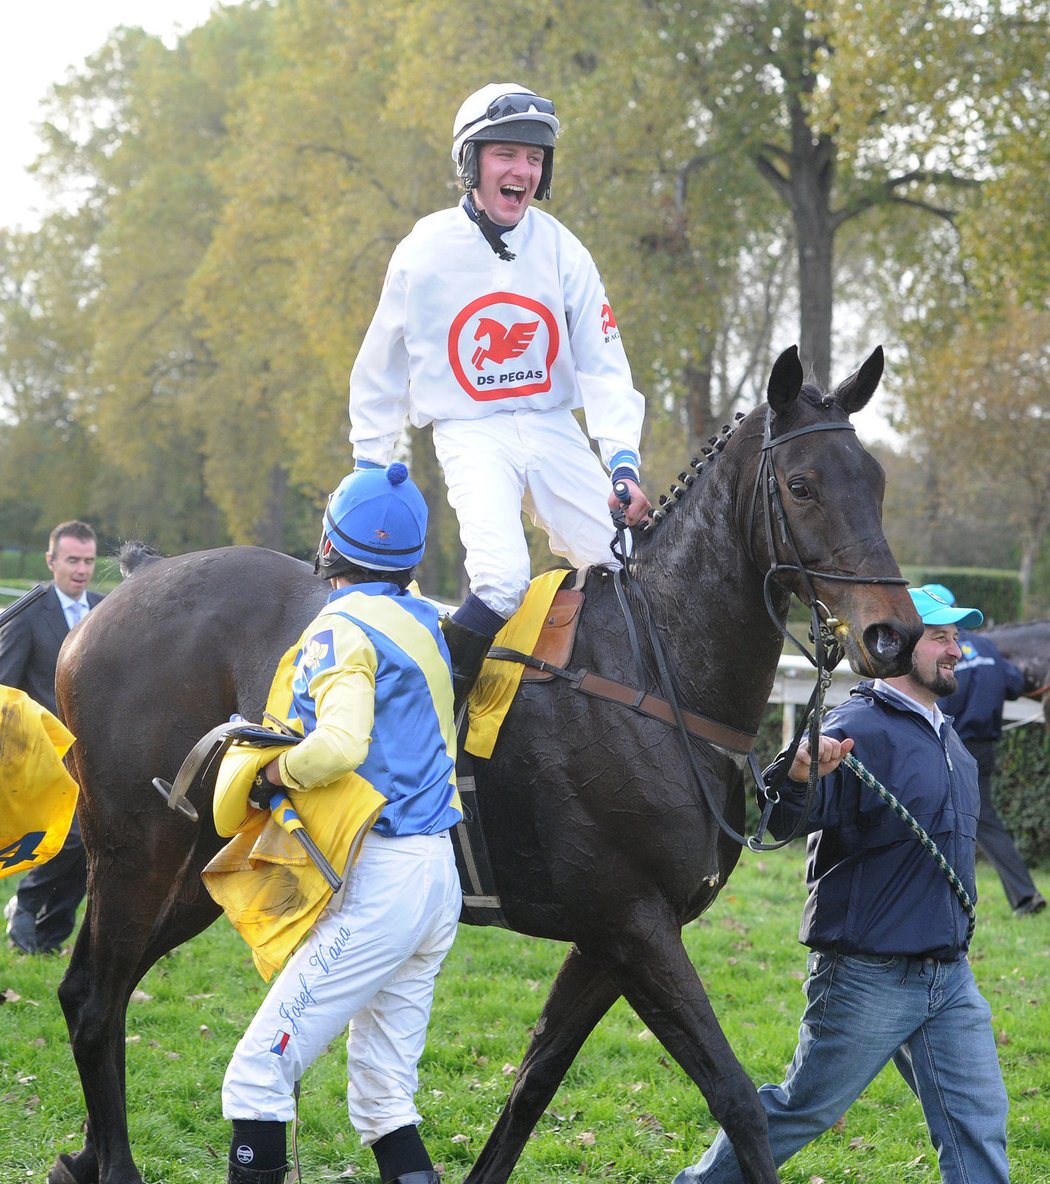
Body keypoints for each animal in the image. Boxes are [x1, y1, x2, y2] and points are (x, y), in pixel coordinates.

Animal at [51, 345, 918, 1184]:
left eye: (877, 483)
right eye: (802, 486)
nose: (894, 637)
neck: (653, 671)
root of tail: (137, 578)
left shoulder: (616, 937)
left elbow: (533, 1083)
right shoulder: (633, 924)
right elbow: (736, 1097)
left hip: (203, 869)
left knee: (101, 988)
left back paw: (85, 1154)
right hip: (138, 851)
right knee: (95, 997)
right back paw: (114, 1165)